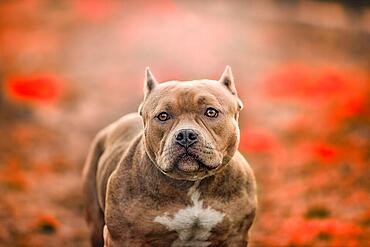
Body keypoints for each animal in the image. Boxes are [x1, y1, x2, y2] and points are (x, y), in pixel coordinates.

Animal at [82, 66, 258, 246]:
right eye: (163, 116)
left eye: (211, 112)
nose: (186, 134)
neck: (191, 183)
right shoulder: (123, 238)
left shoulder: (235, 237)